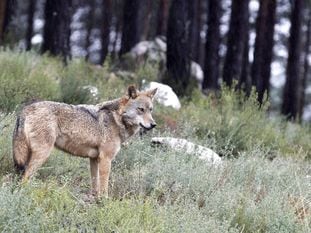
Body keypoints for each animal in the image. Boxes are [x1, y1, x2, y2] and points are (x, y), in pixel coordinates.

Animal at [13, 84, 157, 198]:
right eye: (141, 109)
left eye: (150, 110)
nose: (153, 124)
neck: (117, 119)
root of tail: (26, 109)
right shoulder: (106, 159)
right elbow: (104, 185)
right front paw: (104, 201)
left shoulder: (94, 159)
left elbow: (95, 184)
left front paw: (94, 198)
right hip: (42, 154)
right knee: (25, 177)